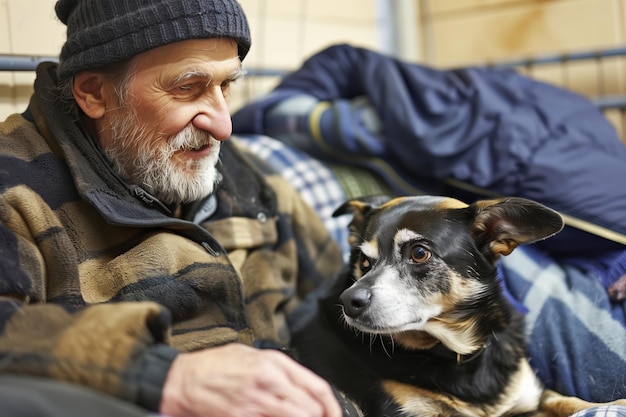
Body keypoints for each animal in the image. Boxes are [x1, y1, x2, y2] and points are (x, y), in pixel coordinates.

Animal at [292, 196, 624, 416]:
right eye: (364, 260)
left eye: (419, 253)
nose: (349, 301)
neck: (458, 352)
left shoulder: (532, 395)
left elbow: (568, 401)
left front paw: (612, 403)